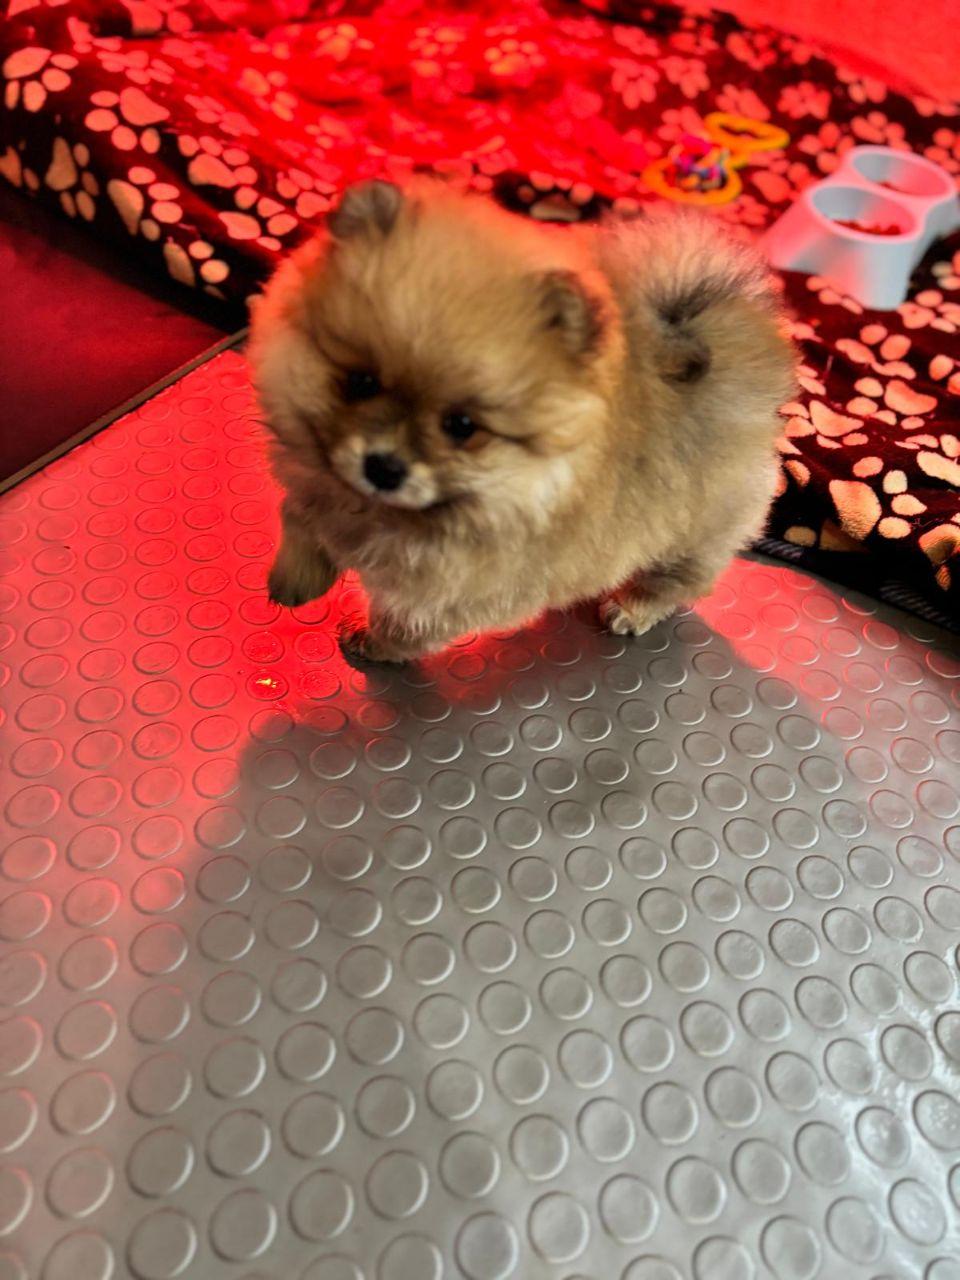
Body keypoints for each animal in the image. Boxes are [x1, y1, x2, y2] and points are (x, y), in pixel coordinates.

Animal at [250, 178, 795, 662]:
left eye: (462, 426)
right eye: (360, 381)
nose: (384, 467)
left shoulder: (446, 590)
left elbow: (405, 622)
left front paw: (373, 641)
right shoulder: (318, 488)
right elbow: (299, 516)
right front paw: (294, 579)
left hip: (693, 536)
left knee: (677, 580)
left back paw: (632, 608)